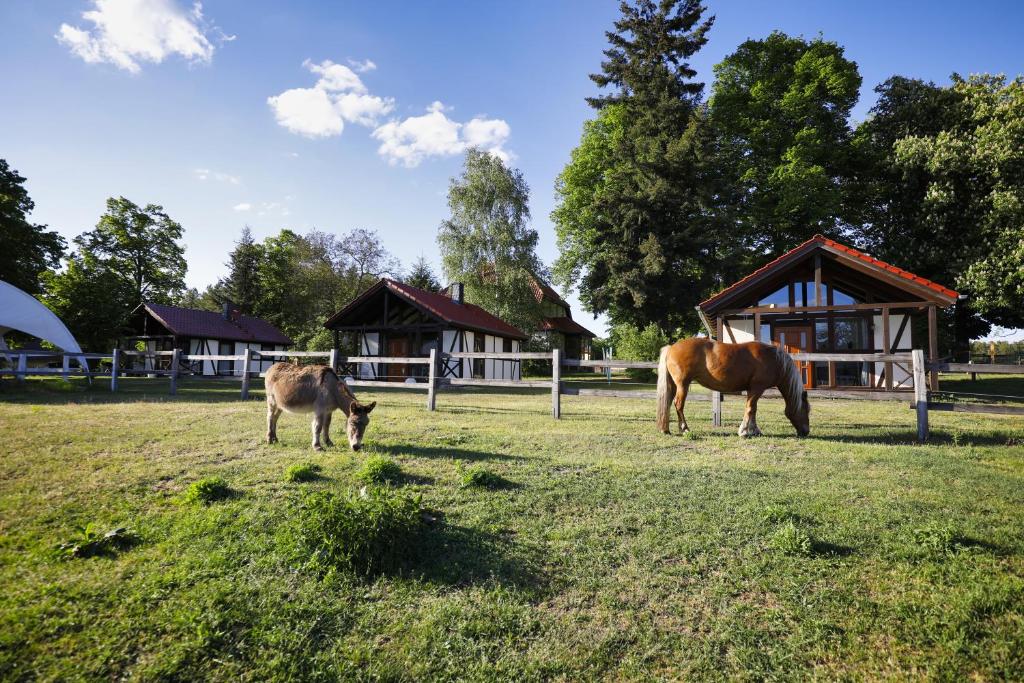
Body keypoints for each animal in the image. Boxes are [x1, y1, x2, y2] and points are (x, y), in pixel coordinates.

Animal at [655, 339, 806, 440]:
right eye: (807, 410)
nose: (805, 432)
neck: (773, 359)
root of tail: (671, 347)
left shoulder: (753, 390)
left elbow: (753, 410)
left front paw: (754, 430)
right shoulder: (756, 388)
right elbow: (751, 408)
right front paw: (744, 431)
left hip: (674, 385)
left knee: (668, 404)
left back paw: (666, 429)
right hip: (683, 385)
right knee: (678, 405)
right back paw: (685, 429)